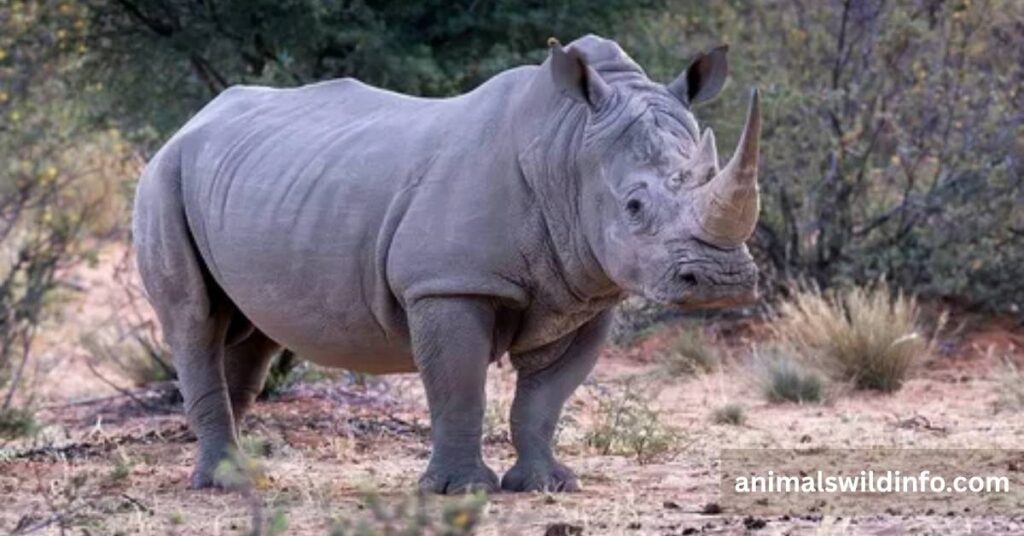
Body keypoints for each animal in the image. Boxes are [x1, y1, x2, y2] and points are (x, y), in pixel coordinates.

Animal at [133, 34, 761, 494]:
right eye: (633, 206)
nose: (723, 280)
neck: (567, 149)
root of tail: (189, 122)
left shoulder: (586, 292)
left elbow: (544, 399)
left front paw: (547, 486)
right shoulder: (448, 284)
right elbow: (460, 387)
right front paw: (462, 491)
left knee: (251, 332)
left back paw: (238, 476)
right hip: (162, 176)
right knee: (194, 320)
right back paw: (219, 485)